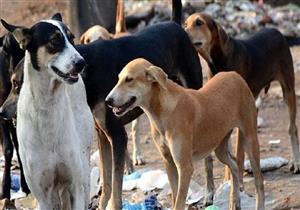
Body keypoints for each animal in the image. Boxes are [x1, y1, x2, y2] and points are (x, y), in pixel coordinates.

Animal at [0, 13, 94, 209]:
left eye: (72, 39)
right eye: (54, 40)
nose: (82, 63)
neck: (47, 105)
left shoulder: (75, 186)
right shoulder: (43, 194)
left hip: (83, 170)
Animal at [105, 58, 264, 210]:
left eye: (129, 79)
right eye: (119, 79)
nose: (107, 100)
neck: (162, 111)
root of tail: (234, 74)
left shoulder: (185, 167)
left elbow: (179, 202)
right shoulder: (168, 162)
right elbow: (175, 197)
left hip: (250, 140)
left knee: (259, 183)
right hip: (220, 148)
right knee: (234, 165)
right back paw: (235, 201)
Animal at [185, 12, 300, 182]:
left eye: (199, 22)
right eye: (185, 24)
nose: (182, 31)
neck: (218, 60)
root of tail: (276, 31)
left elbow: (238, 153)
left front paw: (235, 178)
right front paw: (228, 179)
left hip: (288, 90)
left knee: (292, 128)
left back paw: (296, 162)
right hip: (253, 104)